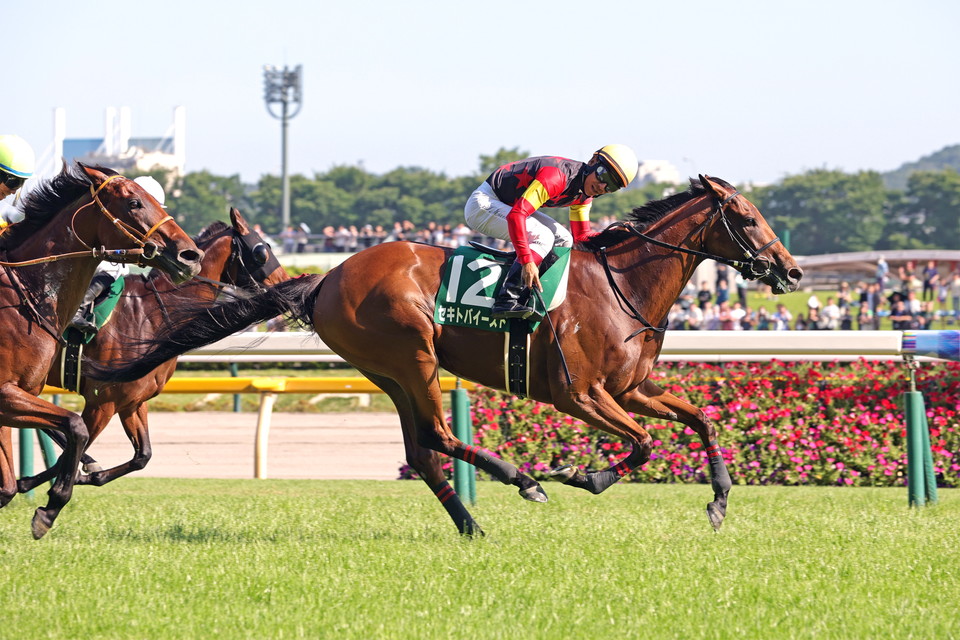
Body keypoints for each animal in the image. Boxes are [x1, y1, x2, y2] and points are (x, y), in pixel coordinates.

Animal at [8, 208, 289, 494]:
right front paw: (31, 481)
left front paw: (84, 475)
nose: (285, 282)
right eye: (261, 252)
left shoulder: (133, 402)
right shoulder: (102, 402)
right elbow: (73, 447)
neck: (153, 313)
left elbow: (142, 455)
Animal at [84, 175, 802, 536]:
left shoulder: (630, 388)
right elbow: (644, 444)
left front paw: (718, 501)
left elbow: (700, 418)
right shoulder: (580, 393)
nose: (792, 270)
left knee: (424, 450)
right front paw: (581, 474)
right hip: (413, 355)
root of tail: (325, 277)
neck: (619, 286)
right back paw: (521, 478)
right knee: (437, 435)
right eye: (746, 216)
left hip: (390, 372)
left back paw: (472, 525)